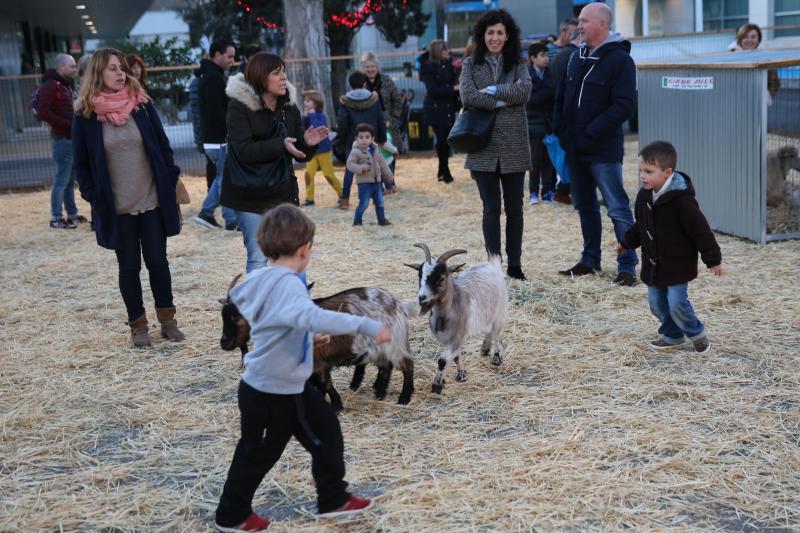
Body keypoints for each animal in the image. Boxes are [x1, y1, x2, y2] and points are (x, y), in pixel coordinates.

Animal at [220, 274, 418, 408]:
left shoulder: (318, 363)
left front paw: (337, 406)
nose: (224, 343)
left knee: (407, 366)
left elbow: (326, 384)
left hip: (394, 344)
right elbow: (317, 386)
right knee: (385, 367)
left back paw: (403, 398)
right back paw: (379, 393)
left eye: (237, 316)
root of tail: (397, 304)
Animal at [404, 243, 510, 392]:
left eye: (441, 278)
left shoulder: (457, 337)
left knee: (497, 334)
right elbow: (455, 357)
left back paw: (496, 358)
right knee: (489, 331)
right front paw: (461, 374)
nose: (422, 298)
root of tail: (492, 265)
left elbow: (443, 360)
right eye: (420, 275)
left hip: (500, 312)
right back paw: (485, 349)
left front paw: (437, 385)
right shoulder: (447, 338)